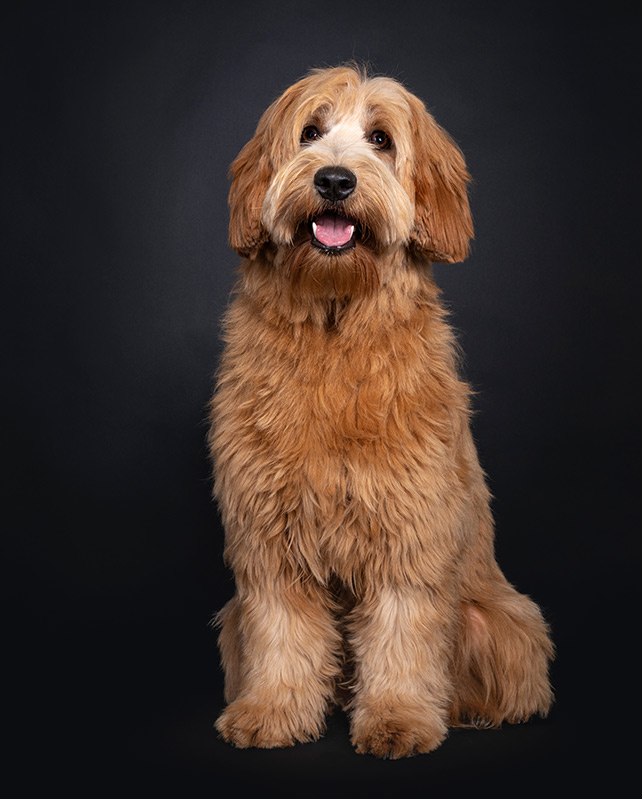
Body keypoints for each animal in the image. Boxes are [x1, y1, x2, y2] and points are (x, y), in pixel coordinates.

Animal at [208, 64, 552, 756]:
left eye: (381, 140)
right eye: (310, 131)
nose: (335, 180)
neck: (336, 323)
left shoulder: (408, 531)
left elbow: (402, 630)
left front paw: (398, 719)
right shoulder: (270, 539)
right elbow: (281, 631)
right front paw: (272, 711)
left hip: (503, 620)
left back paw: (468, 711)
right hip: (230, 621)